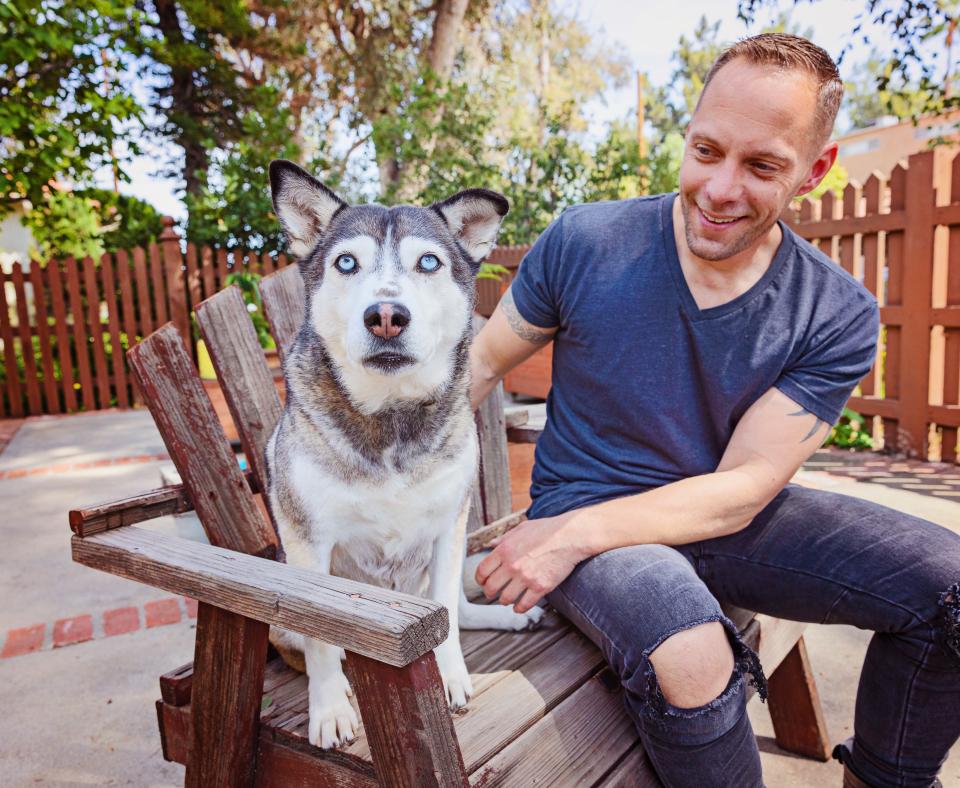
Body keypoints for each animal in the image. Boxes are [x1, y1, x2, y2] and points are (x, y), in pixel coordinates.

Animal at [266, 162, 544, 752]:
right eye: (346, 262)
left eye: (429, 262)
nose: (387, 315)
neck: (391, 417)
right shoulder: (307, 541)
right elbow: (321, 643)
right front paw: (330, 709)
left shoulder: (449, 529)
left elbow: (448, 620)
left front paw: (451, 674)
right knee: (314, 645)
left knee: (459, 609)